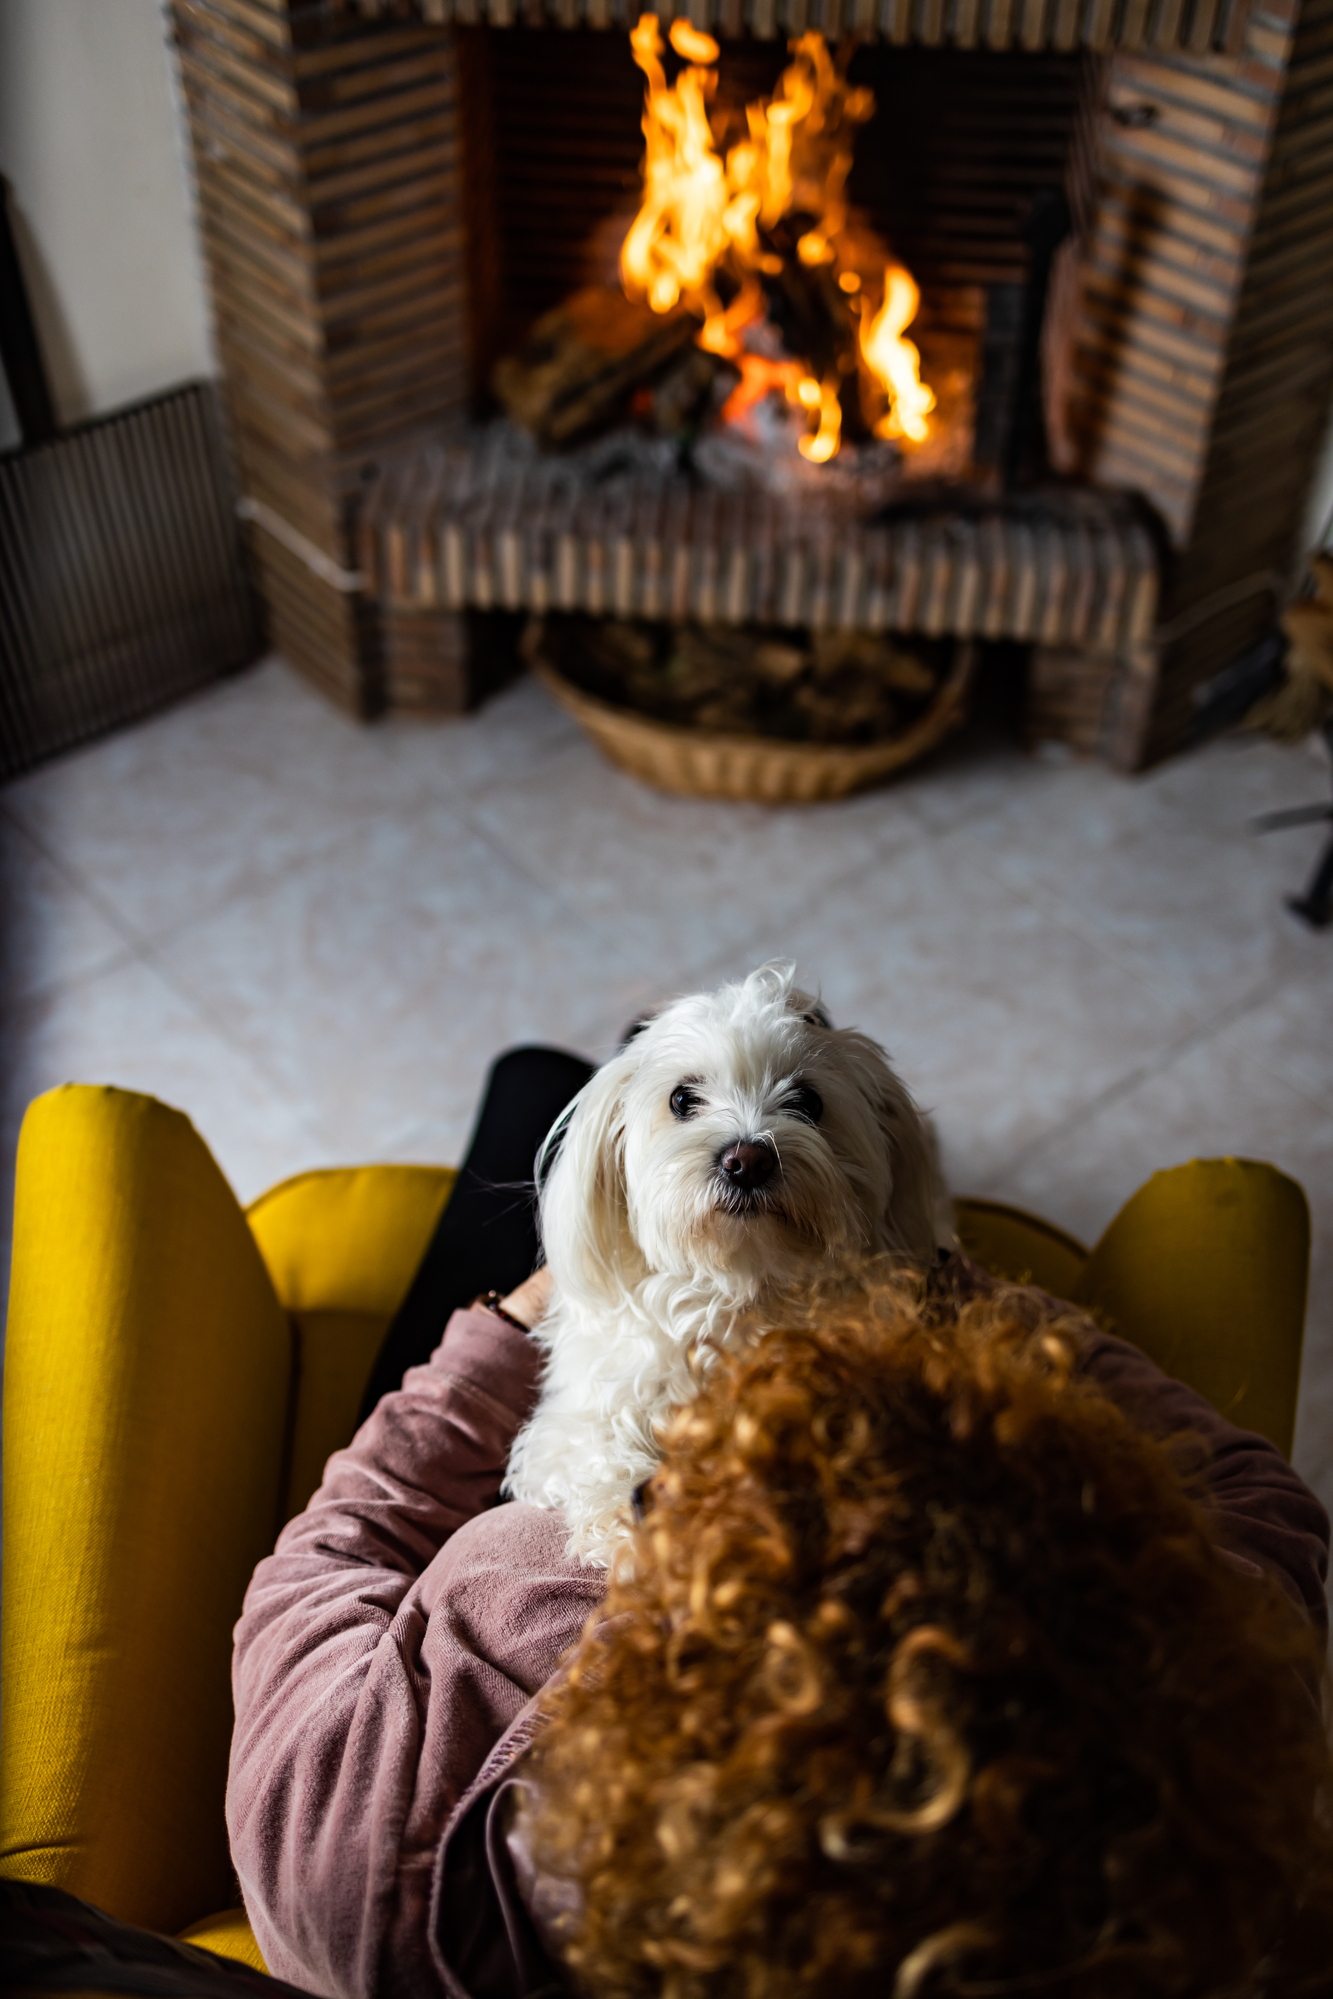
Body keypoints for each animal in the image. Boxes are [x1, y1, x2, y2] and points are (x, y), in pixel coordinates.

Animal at [503, 963, 947, 1559]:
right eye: (682, 1099)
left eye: (808, 1101)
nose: (748, 1160)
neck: (740, 1285)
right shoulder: (572, 1420)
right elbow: (593, 1450)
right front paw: (623, 1522)